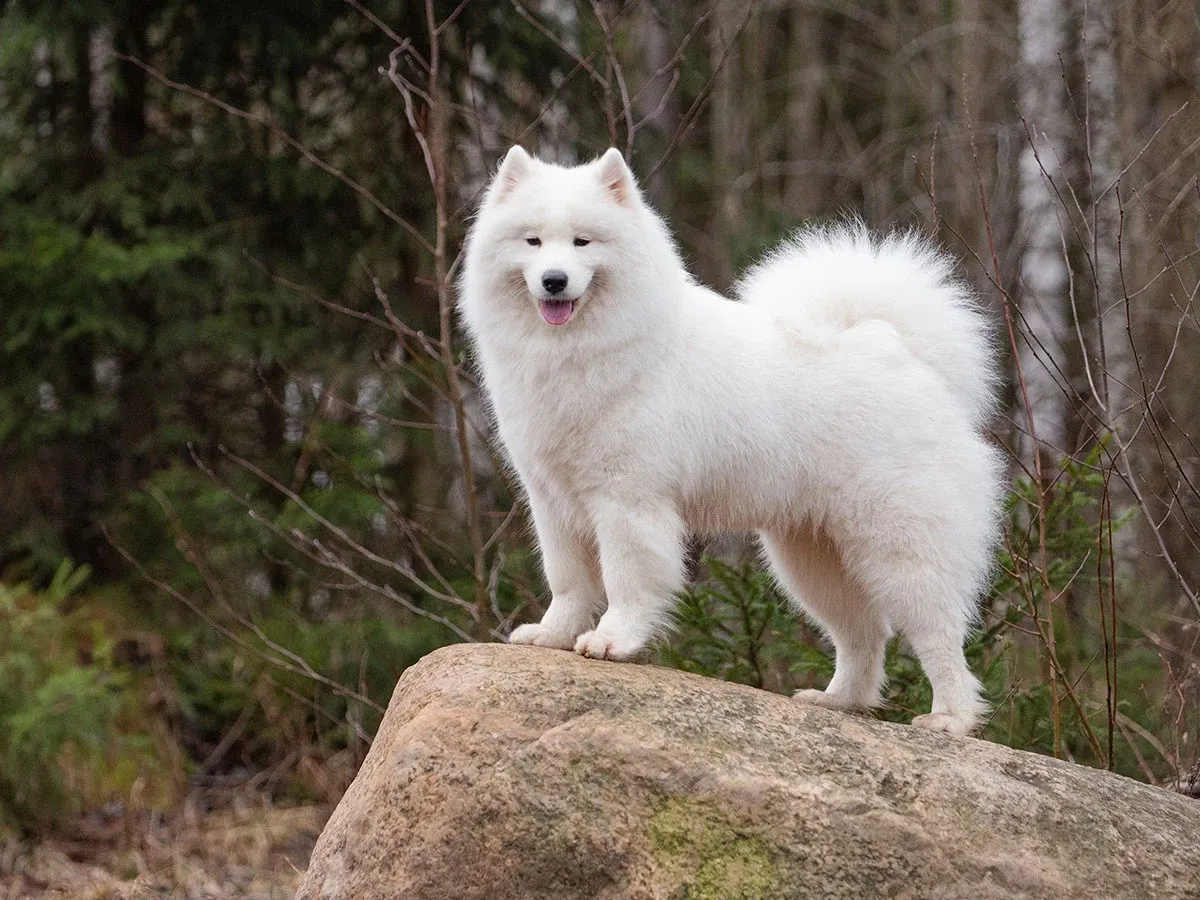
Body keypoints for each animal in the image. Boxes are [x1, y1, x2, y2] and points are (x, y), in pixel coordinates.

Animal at [458, 148, 1003, 734]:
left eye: (583, 242)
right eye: (533, 242)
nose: (554, 281)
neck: (580, 352)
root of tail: (900, 350)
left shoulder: (627, 501)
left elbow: (627, 579)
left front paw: (611, 641)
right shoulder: (553, 500)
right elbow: (567, 582)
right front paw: (552, 635)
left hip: (901, 549)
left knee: (939, 635)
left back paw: (949, 720)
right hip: (813, 560)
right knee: (864, 635)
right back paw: (837, 701)